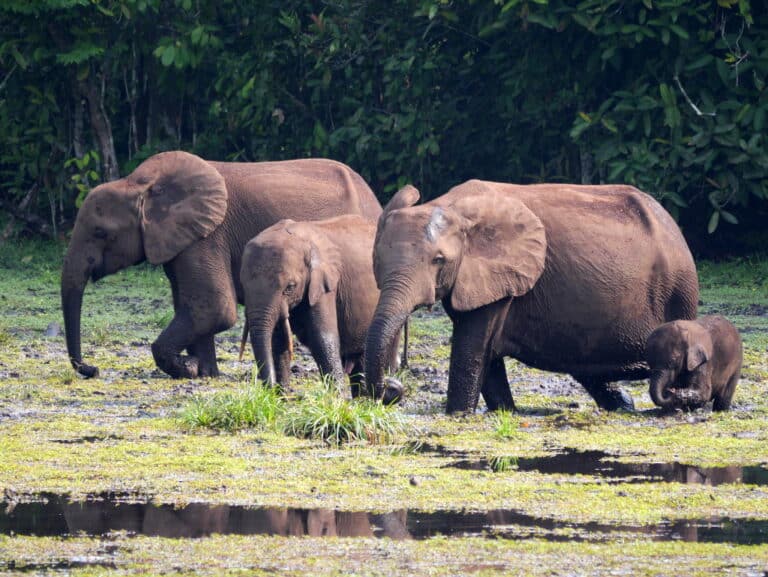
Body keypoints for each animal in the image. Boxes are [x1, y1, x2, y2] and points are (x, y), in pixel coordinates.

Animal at [61, 151, 381, 379]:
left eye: (100, 232)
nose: (92, 369)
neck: (138, 183)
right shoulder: (183, 241)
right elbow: (194, 307)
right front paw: (205, 372)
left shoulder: (207, 236)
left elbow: (215, 308)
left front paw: (189, 368)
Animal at [240, 215, 401, 399]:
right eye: (243, 285)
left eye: (290, 287)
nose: (268, 391)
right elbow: (279, 341)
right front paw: (281, 399)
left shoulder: (324, 284)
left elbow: (322, 338)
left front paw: (337, 400)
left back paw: (363, 400)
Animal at [364, 181, 699, 414]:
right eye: (377, 260)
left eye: (438, 260)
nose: (392, 388)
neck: (453, 207)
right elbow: (485, 357)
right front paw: (504, 413)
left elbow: (471, 350)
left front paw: (457, 414)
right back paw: (624, 405)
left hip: (678, 291)